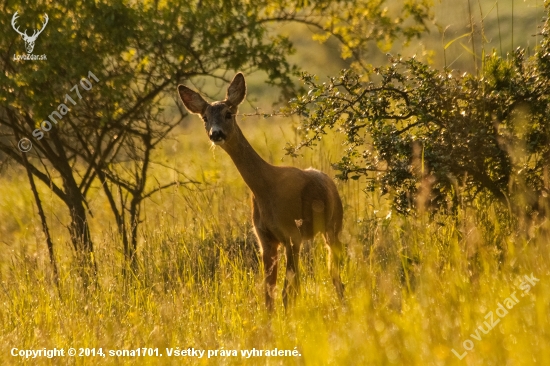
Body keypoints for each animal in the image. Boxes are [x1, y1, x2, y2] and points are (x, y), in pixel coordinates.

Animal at [179, 73, 348, 310]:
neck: (266, 189)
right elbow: (268, 295)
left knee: (334, 270)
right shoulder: (265, 240)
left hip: (333, 225)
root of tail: (328, 180)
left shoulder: (291, 234)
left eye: (228, 113)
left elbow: (287, 292)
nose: (216, 133)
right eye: (204, 117)